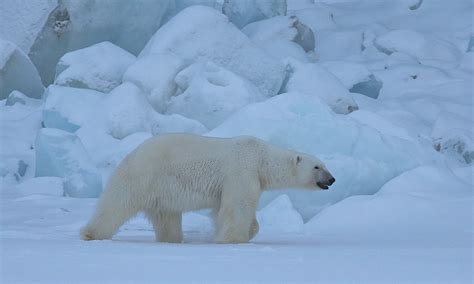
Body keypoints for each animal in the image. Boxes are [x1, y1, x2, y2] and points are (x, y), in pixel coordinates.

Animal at [80, 133, 334, 242]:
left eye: (325, 165)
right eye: (317, 166)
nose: (332, 179)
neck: (261, 158)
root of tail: (129, 155)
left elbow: (227, 208)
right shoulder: (241, 172)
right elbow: (237, 206)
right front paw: (233, 239)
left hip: (161, 192)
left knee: (167, 217)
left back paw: (172, 240)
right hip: (143, 177)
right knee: (116, 205)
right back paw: (90, 233)